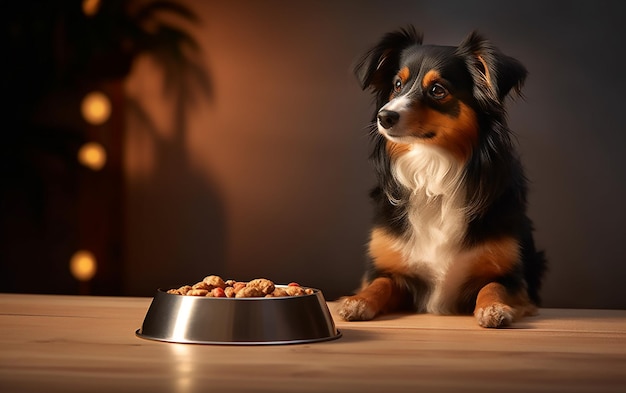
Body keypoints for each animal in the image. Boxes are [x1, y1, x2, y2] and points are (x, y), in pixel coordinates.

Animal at [338, 26, 544, 328]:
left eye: (437, 90)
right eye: (397, 85)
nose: (384, 116)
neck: (432, 171)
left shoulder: (513, 278)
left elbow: (493, 285)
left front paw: (493, 308)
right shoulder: (390, 271)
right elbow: (379, 283)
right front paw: (357, 301)